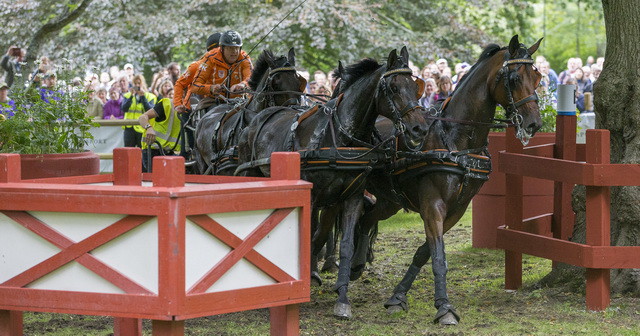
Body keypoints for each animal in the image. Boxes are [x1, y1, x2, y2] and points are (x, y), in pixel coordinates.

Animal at [239, 46, 430, 318]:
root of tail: (258, 116)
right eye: (393, 87)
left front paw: (342, 297)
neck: (341, 136)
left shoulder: (350, 197)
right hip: (250, 176)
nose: (419, 129)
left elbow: (344, 244)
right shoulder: (311, 198)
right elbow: (307, 237)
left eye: (416, 86)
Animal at [358, 34, 544, 326]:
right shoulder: (432, 205)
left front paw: (398, 297)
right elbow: (438, 255)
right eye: (514, 78)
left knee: (366, 220)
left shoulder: (457, 209)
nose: (534, 123)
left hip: (390, 201)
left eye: (536, 77)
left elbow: (425, 252)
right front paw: (444, 307)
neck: (455, 139)